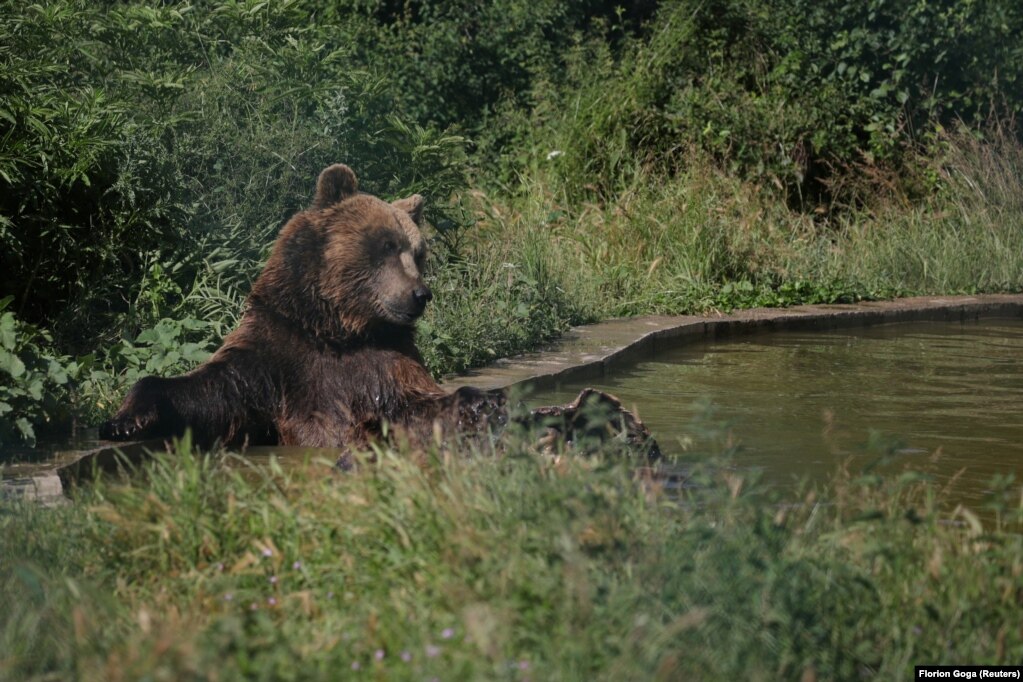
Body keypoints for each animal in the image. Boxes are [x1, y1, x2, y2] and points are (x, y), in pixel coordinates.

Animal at [101, 163, 654, 458]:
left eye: (420, 252)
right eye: (388, 245)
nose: (420, 295)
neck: (338, 329)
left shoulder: (384, 359)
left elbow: (415, 407)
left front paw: (486, 403)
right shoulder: (280, 350)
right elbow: (213, 392)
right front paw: (125, 419)